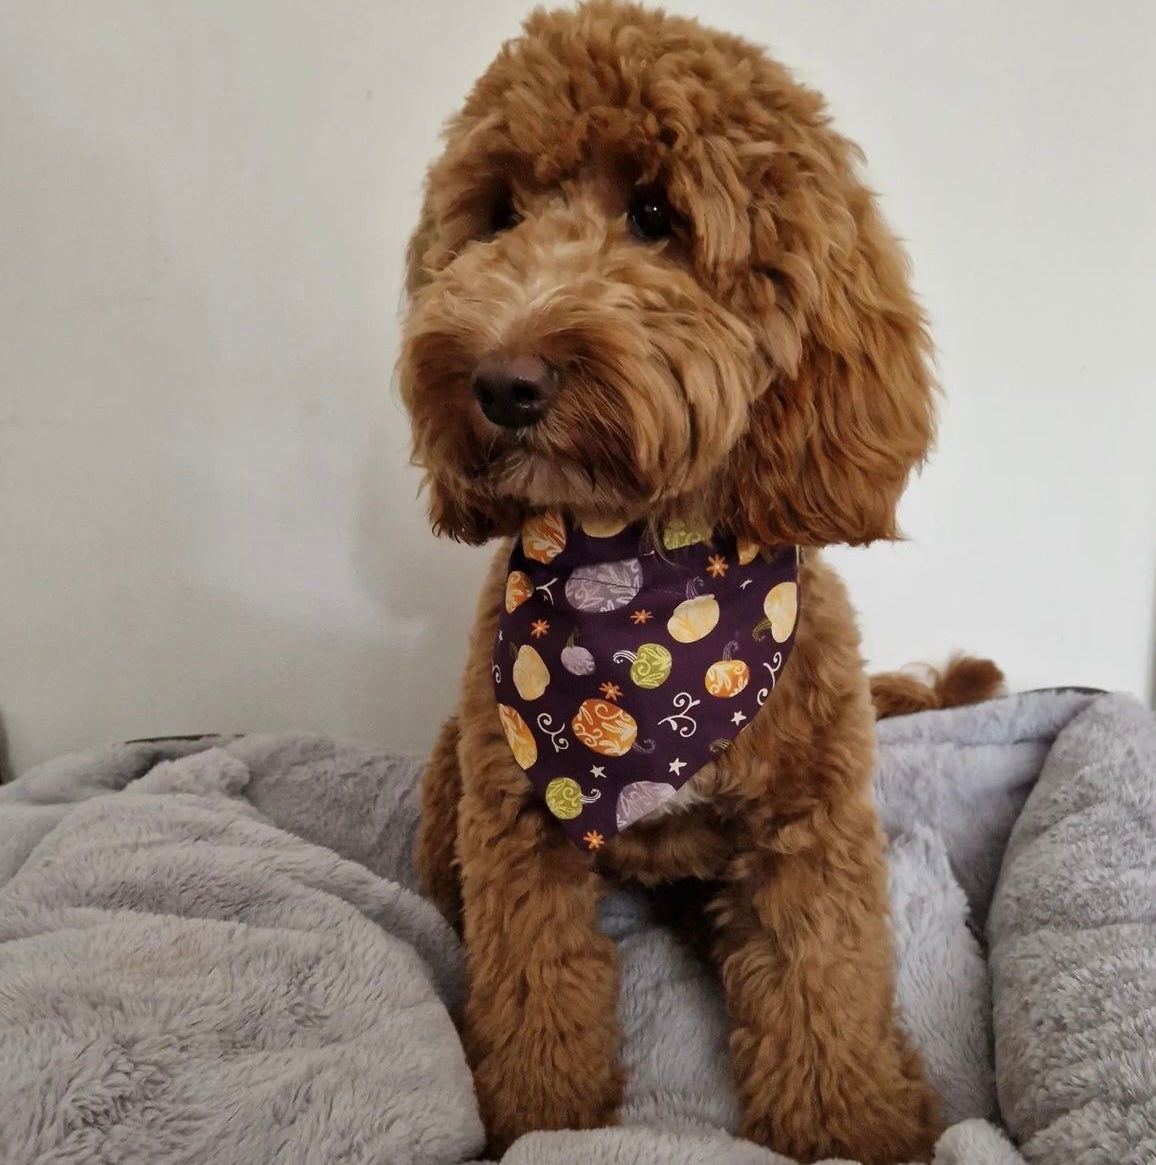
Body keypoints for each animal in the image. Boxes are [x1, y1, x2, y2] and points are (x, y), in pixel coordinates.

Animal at [400, 4, 997, 1160]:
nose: (500, 380)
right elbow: (537, 993)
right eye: (497, 216)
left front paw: (857, 1125)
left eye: (655, 214)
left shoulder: (808, 832)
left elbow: (822, 991)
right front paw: (533, 1120)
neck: (637, 578)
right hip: (456, 775)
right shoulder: (517, 832)